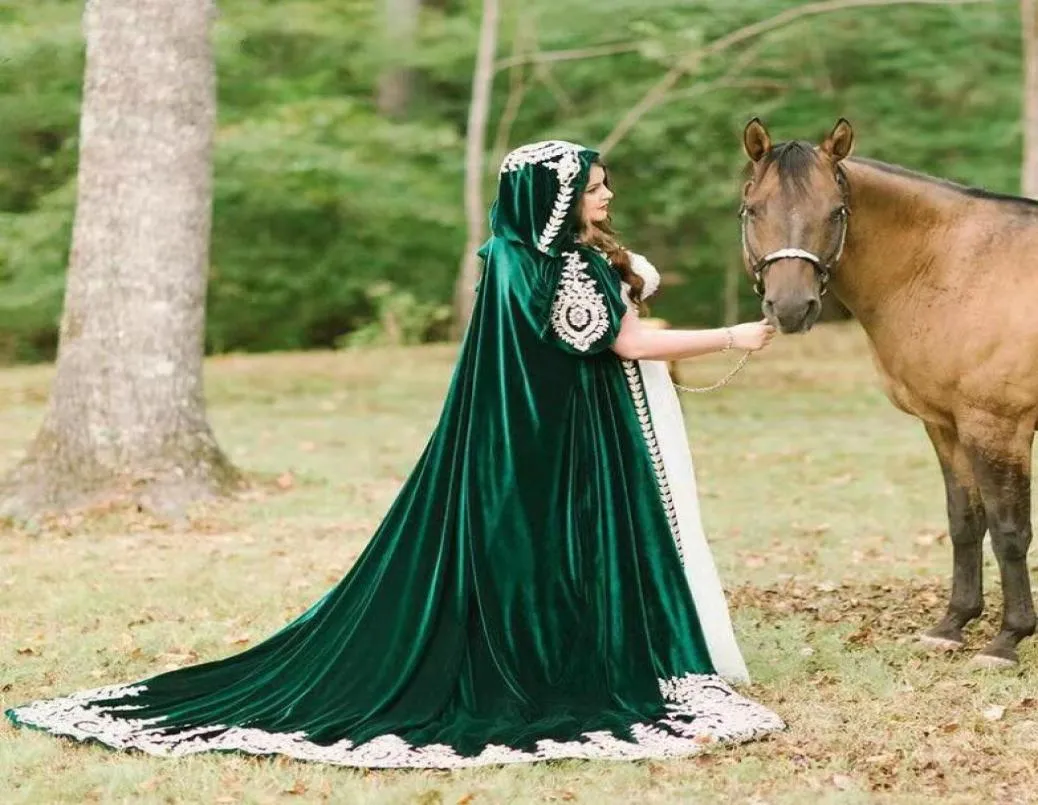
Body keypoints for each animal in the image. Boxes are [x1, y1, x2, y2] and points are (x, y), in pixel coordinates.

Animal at [739, 114, 1038, 668]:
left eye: (836, 212)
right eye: (753, 209)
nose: (790, 308)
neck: (953, 265)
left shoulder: (997, 426)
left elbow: (1009, 530)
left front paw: (1008, 639)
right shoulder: (945, 425)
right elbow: (965, 521)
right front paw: (952, 625)